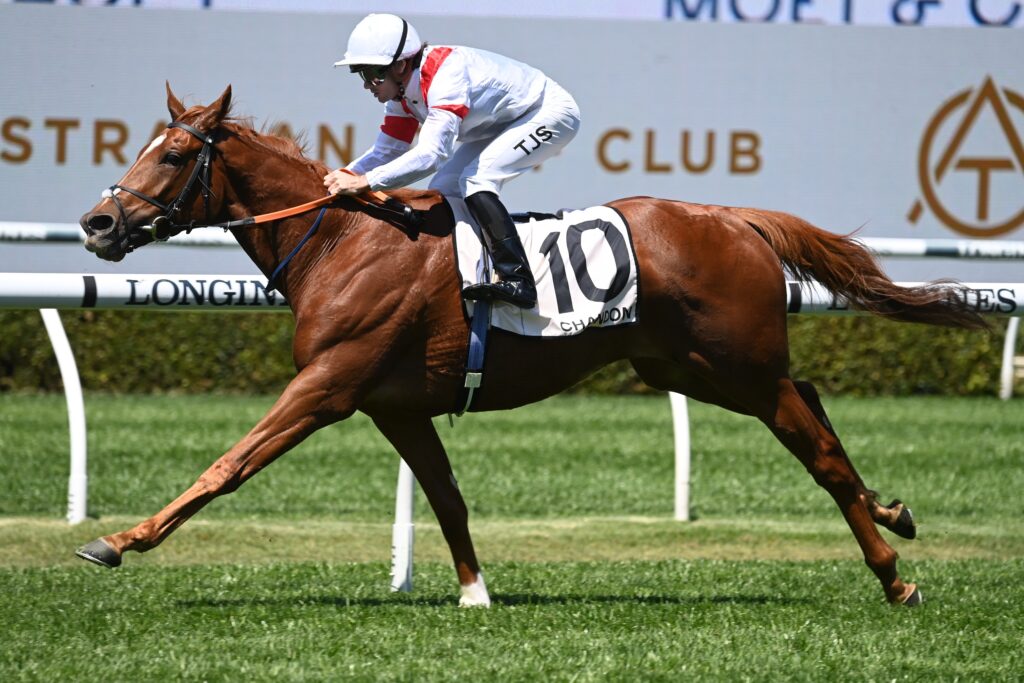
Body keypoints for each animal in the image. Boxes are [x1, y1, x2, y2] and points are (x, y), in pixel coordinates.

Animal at [76, 84, 986, 607]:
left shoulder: (329, 384)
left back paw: (893, 575)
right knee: (818, 409)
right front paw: (476, 593)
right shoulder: (394, 404)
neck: (342, 240)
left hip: (742, 366)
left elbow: (227, 464)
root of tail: (736, 218)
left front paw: (119, 541)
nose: (98, 221)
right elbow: (446, 497)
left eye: (176, 153)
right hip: (694, 366)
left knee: (819, 453)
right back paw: (892, 512)